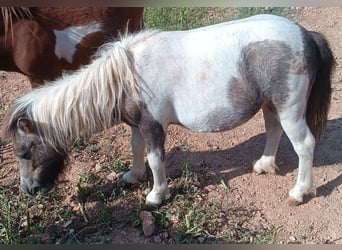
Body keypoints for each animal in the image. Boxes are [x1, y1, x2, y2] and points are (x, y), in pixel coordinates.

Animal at [2, 14, 334, 207]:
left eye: (26, 152)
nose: (28, 190)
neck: (126, 77)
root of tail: (306, 35)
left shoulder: (153, 126)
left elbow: (155, 160)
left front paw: (155, 195)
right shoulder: (137, 124)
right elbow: (136, 149)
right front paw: (133, 176)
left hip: (290, 108)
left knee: (304, 145)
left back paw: (299, 192)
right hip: (271, 105)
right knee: (274, 131)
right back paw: (265, 165)